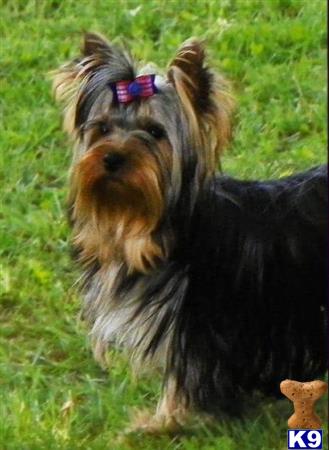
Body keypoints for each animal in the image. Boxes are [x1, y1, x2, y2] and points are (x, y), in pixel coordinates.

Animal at [53, 32, 326, 432]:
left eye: (155, 132)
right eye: (102, 129)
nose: (112, 158)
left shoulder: (199, 330)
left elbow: (184, 379)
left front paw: (161, 424)